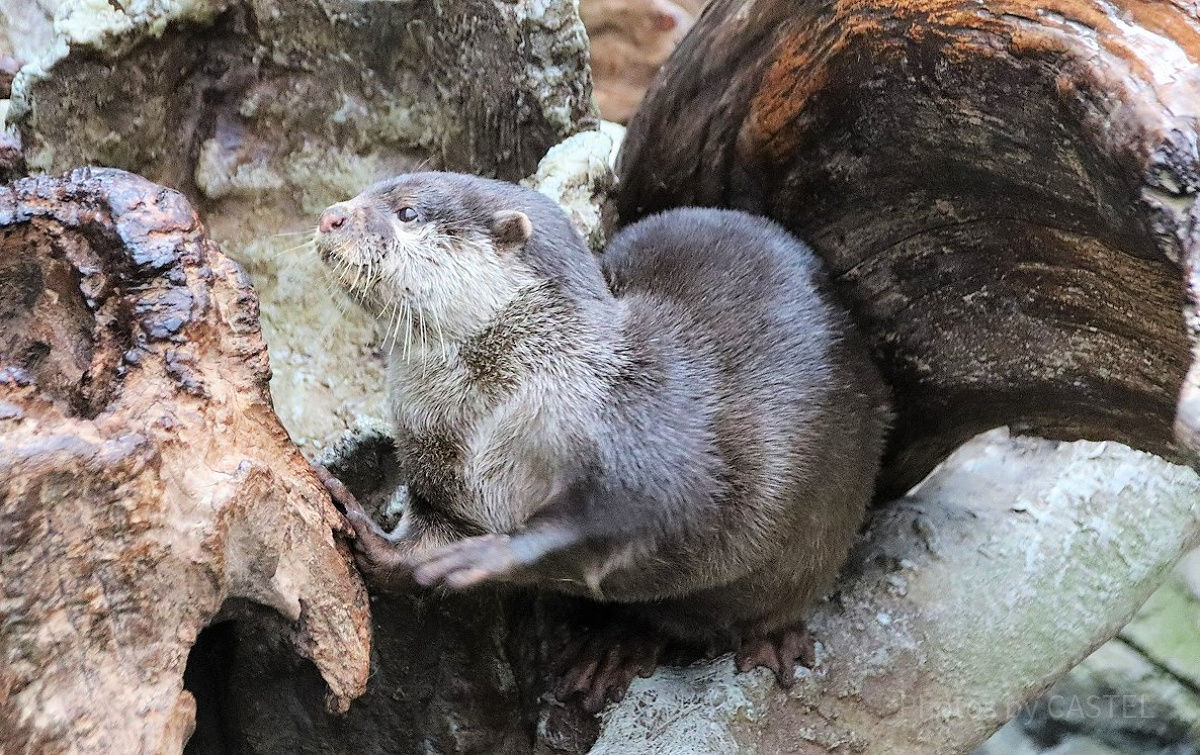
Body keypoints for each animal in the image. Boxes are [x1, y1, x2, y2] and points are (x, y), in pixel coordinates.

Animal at [312, 172, 892, 710]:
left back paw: (756, 641)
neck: (495, 414)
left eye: (408, 212)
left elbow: (620, 515)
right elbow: (425, 533)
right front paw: (363, 528)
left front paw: (487, 555)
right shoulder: (437, 467)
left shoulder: (641, 435)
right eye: (366, 191)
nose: (331, 216)